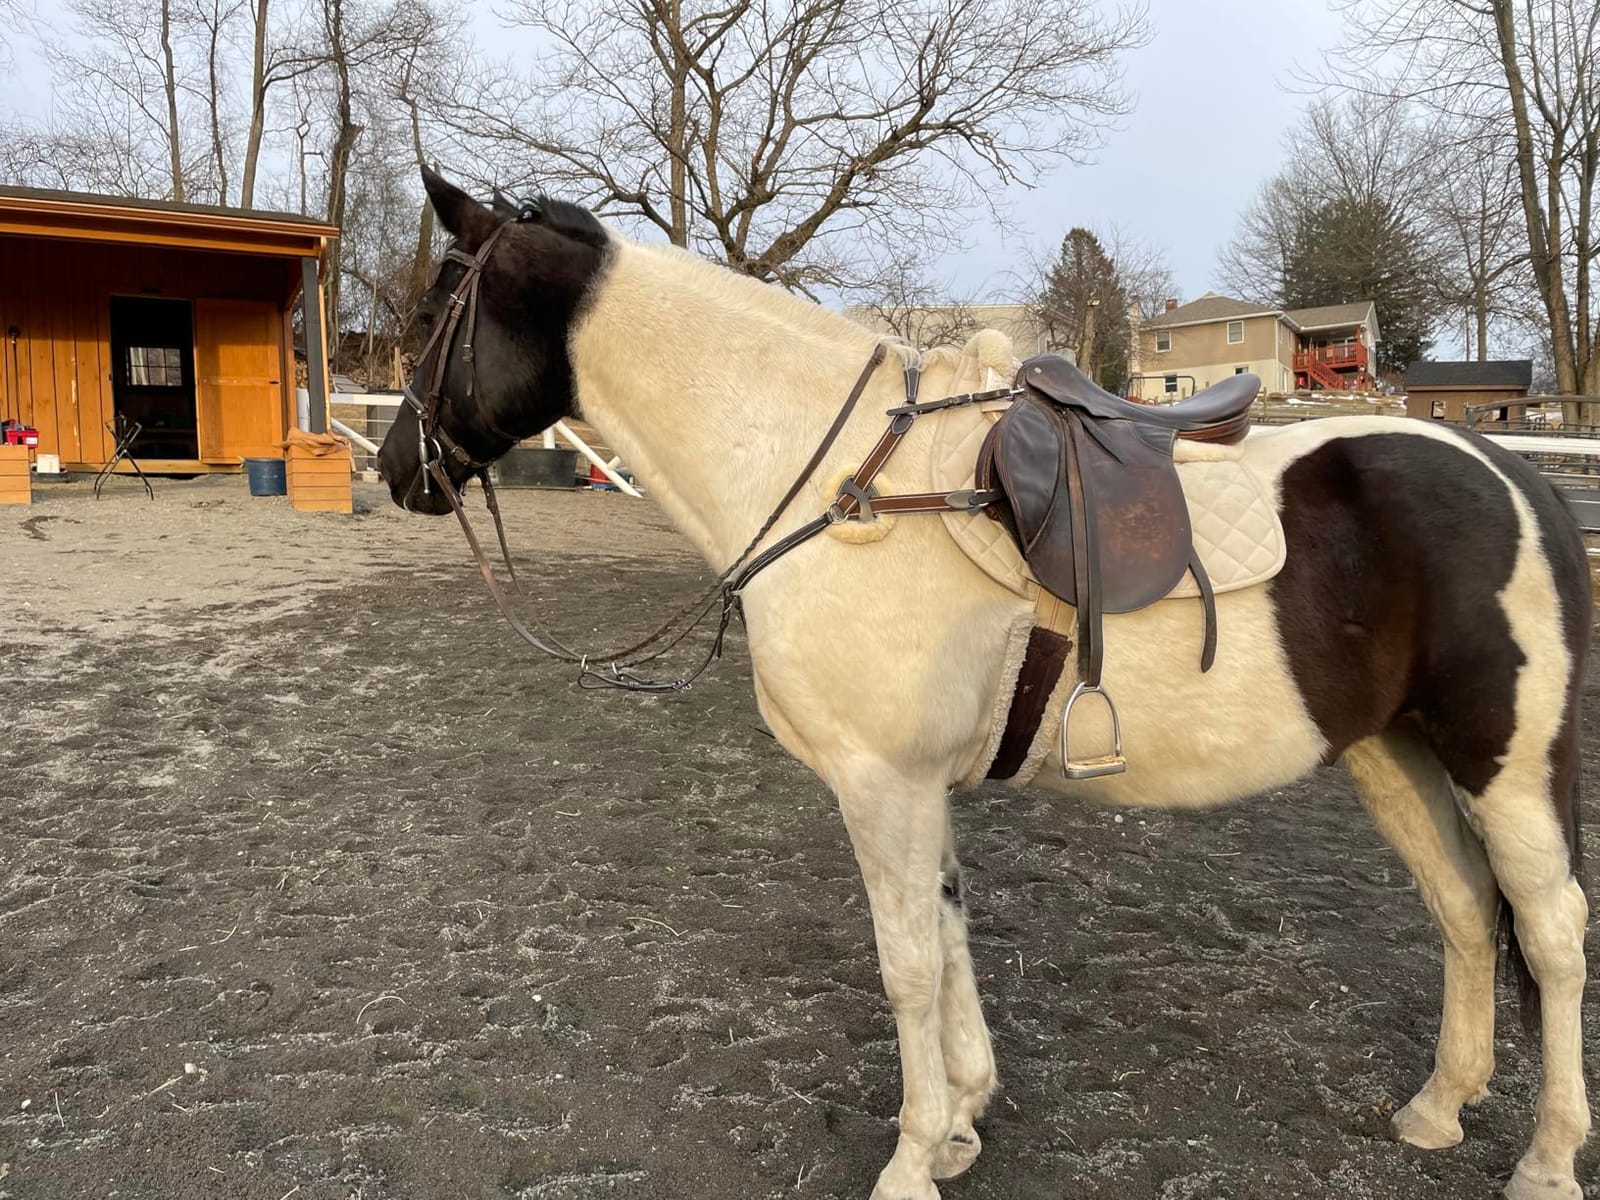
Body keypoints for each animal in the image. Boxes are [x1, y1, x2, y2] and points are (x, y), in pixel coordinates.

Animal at [376, 167, 1591, 1200]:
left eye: (437, 309)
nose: (398, 472)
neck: (839, 482)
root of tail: (1516, 475)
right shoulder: (917, 788)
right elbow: (950, 935)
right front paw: (962, 1120)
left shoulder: (882, 782)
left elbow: (908, 963)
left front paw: (914, 1158)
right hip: (1394, 752)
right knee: (1461, 908)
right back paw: (1438, 1109)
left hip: (1504, 763)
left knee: (1550, 931)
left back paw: (1543, 1160)